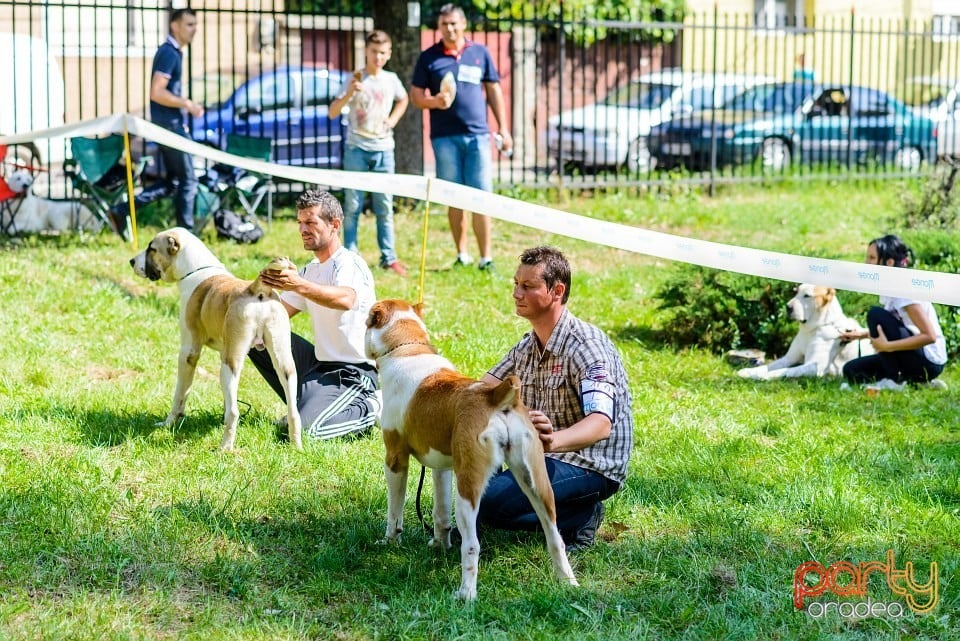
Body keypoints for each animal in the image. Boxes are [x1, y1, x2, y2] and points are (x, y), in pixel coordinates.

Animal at [128, 228, 300, 448]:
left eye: (152, 248)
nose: (132, 261)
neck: (195, 269)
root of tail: (256, 288)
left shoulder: (188, 353)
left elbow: (180, 393)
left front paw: (169, 423)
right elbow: (226, 399)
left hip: (230, 364)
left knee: (234, 412)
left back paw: (225, 448)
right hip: (283, 363)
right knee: (293, 410)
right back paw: (296, 446)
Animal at [366, 300, 576, 600]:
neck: (408, 347)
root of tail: (496, 396)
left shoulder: (395, 460)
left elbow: (394, 511)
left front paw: (390, 541)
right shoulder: (441, 468)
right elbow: (440, 513)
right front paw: (439, 545)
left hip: (468, 489)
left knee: (472, 545)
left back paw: (465, 594)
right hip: (537, 483)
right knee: (554, 537)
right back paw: (568, 582)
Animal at [736, 284, 876, 380]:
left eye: (807, 296)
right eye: (796, 291)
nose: (788, 307)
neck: (813, 328)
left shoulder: (815, 367)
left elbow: (786, 371)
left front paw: (761, 376)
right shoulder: (788, 358)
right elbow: (770, 366)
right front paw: (749, 371)